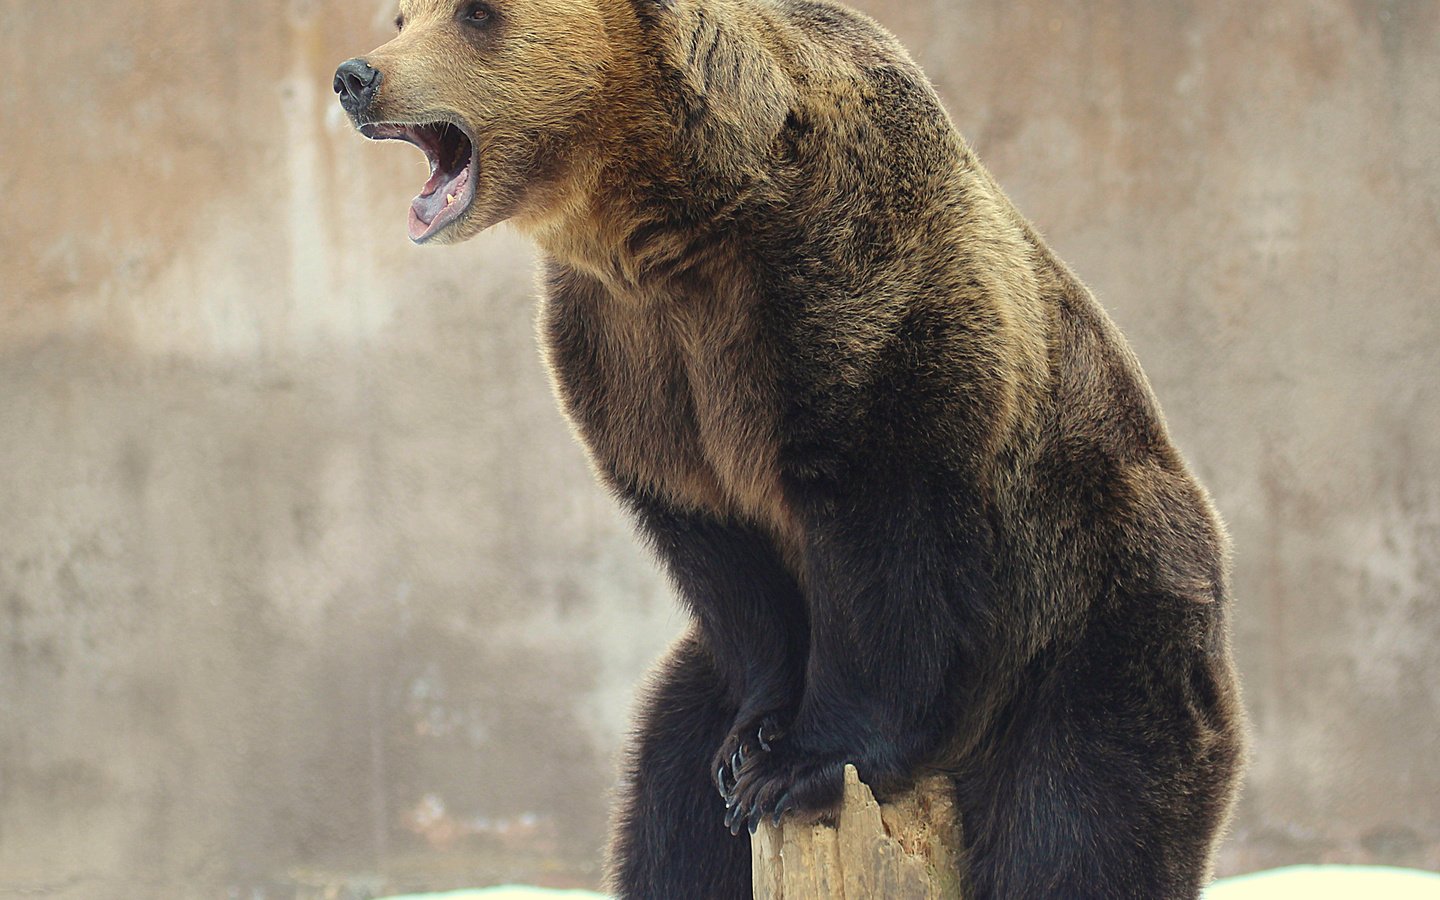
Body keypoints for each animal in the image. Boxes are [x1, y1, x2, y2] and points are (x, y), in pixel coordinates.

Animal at [334, 0, 1238, 892]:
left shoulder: (850, 293)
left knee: (1080, 821)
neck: (670, 224)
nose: (357, 76)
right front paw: (754, 745)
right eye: (403, 16)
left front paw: (804, 762)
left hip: (1091, 633)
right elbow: (721, 555)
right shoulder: (630, 356)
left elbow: (888, 543)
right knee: (668, 804)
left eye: (476, 15)